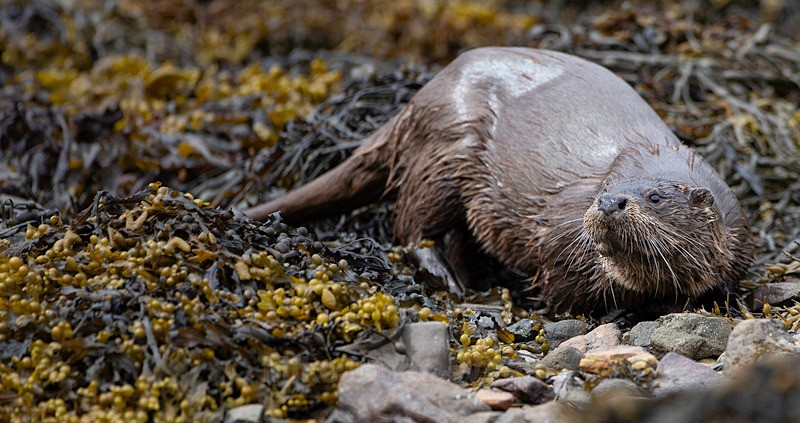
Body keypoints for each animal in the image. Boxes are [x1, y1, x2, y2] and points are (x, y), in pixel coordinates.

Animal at [246, 47, 754, 313]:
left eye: (654, 196)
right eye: (605, 191)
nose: (610, 204)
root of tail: (421, 97)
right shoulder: (562, 239)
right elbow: (563, 290)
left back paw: (475, 277)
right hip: (448, 153)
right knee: (412, 222)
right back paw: (447, 278)